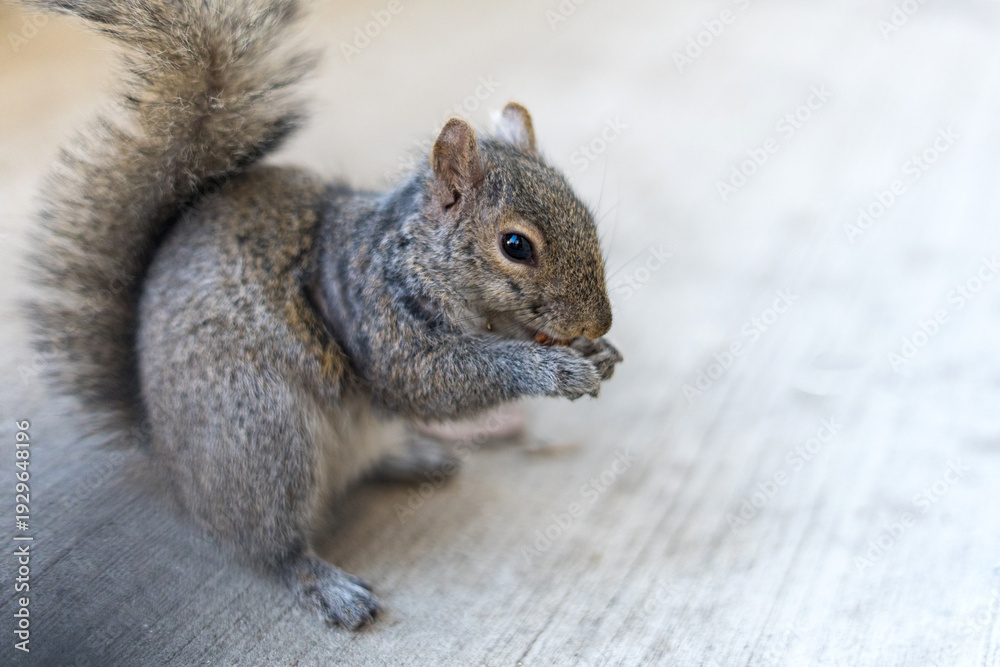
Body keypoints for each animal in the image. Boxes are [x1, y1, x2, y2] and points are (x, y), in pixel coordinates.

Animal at [26, 0, 622, 629]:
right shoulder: (378, 322)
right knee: (270, 546)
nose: (599, 323)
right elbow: (437, 381)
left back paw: (415, 457)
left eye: (584, 212)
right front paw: (555, 370)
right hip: (263, 432)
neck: (409, 255)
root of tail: (169, 458)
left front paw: (597, 353)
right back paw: (326, 584)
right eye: (515, 246)